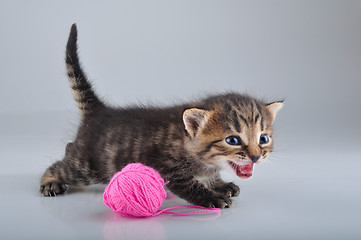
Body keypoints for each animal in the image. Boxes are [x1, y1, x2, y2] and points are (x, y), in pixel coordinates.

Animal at [38, 24, 282, 208]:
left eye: (263, 138)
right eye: (233, 140)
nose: (255, 156)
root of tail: (100, 111)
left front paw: (219, 184)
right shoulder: (165, 166)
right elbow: (189, 185)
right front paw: (211, 196)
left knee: (69, 147)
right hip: (90, 166)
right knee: (64, 164)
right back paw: (50, 181)